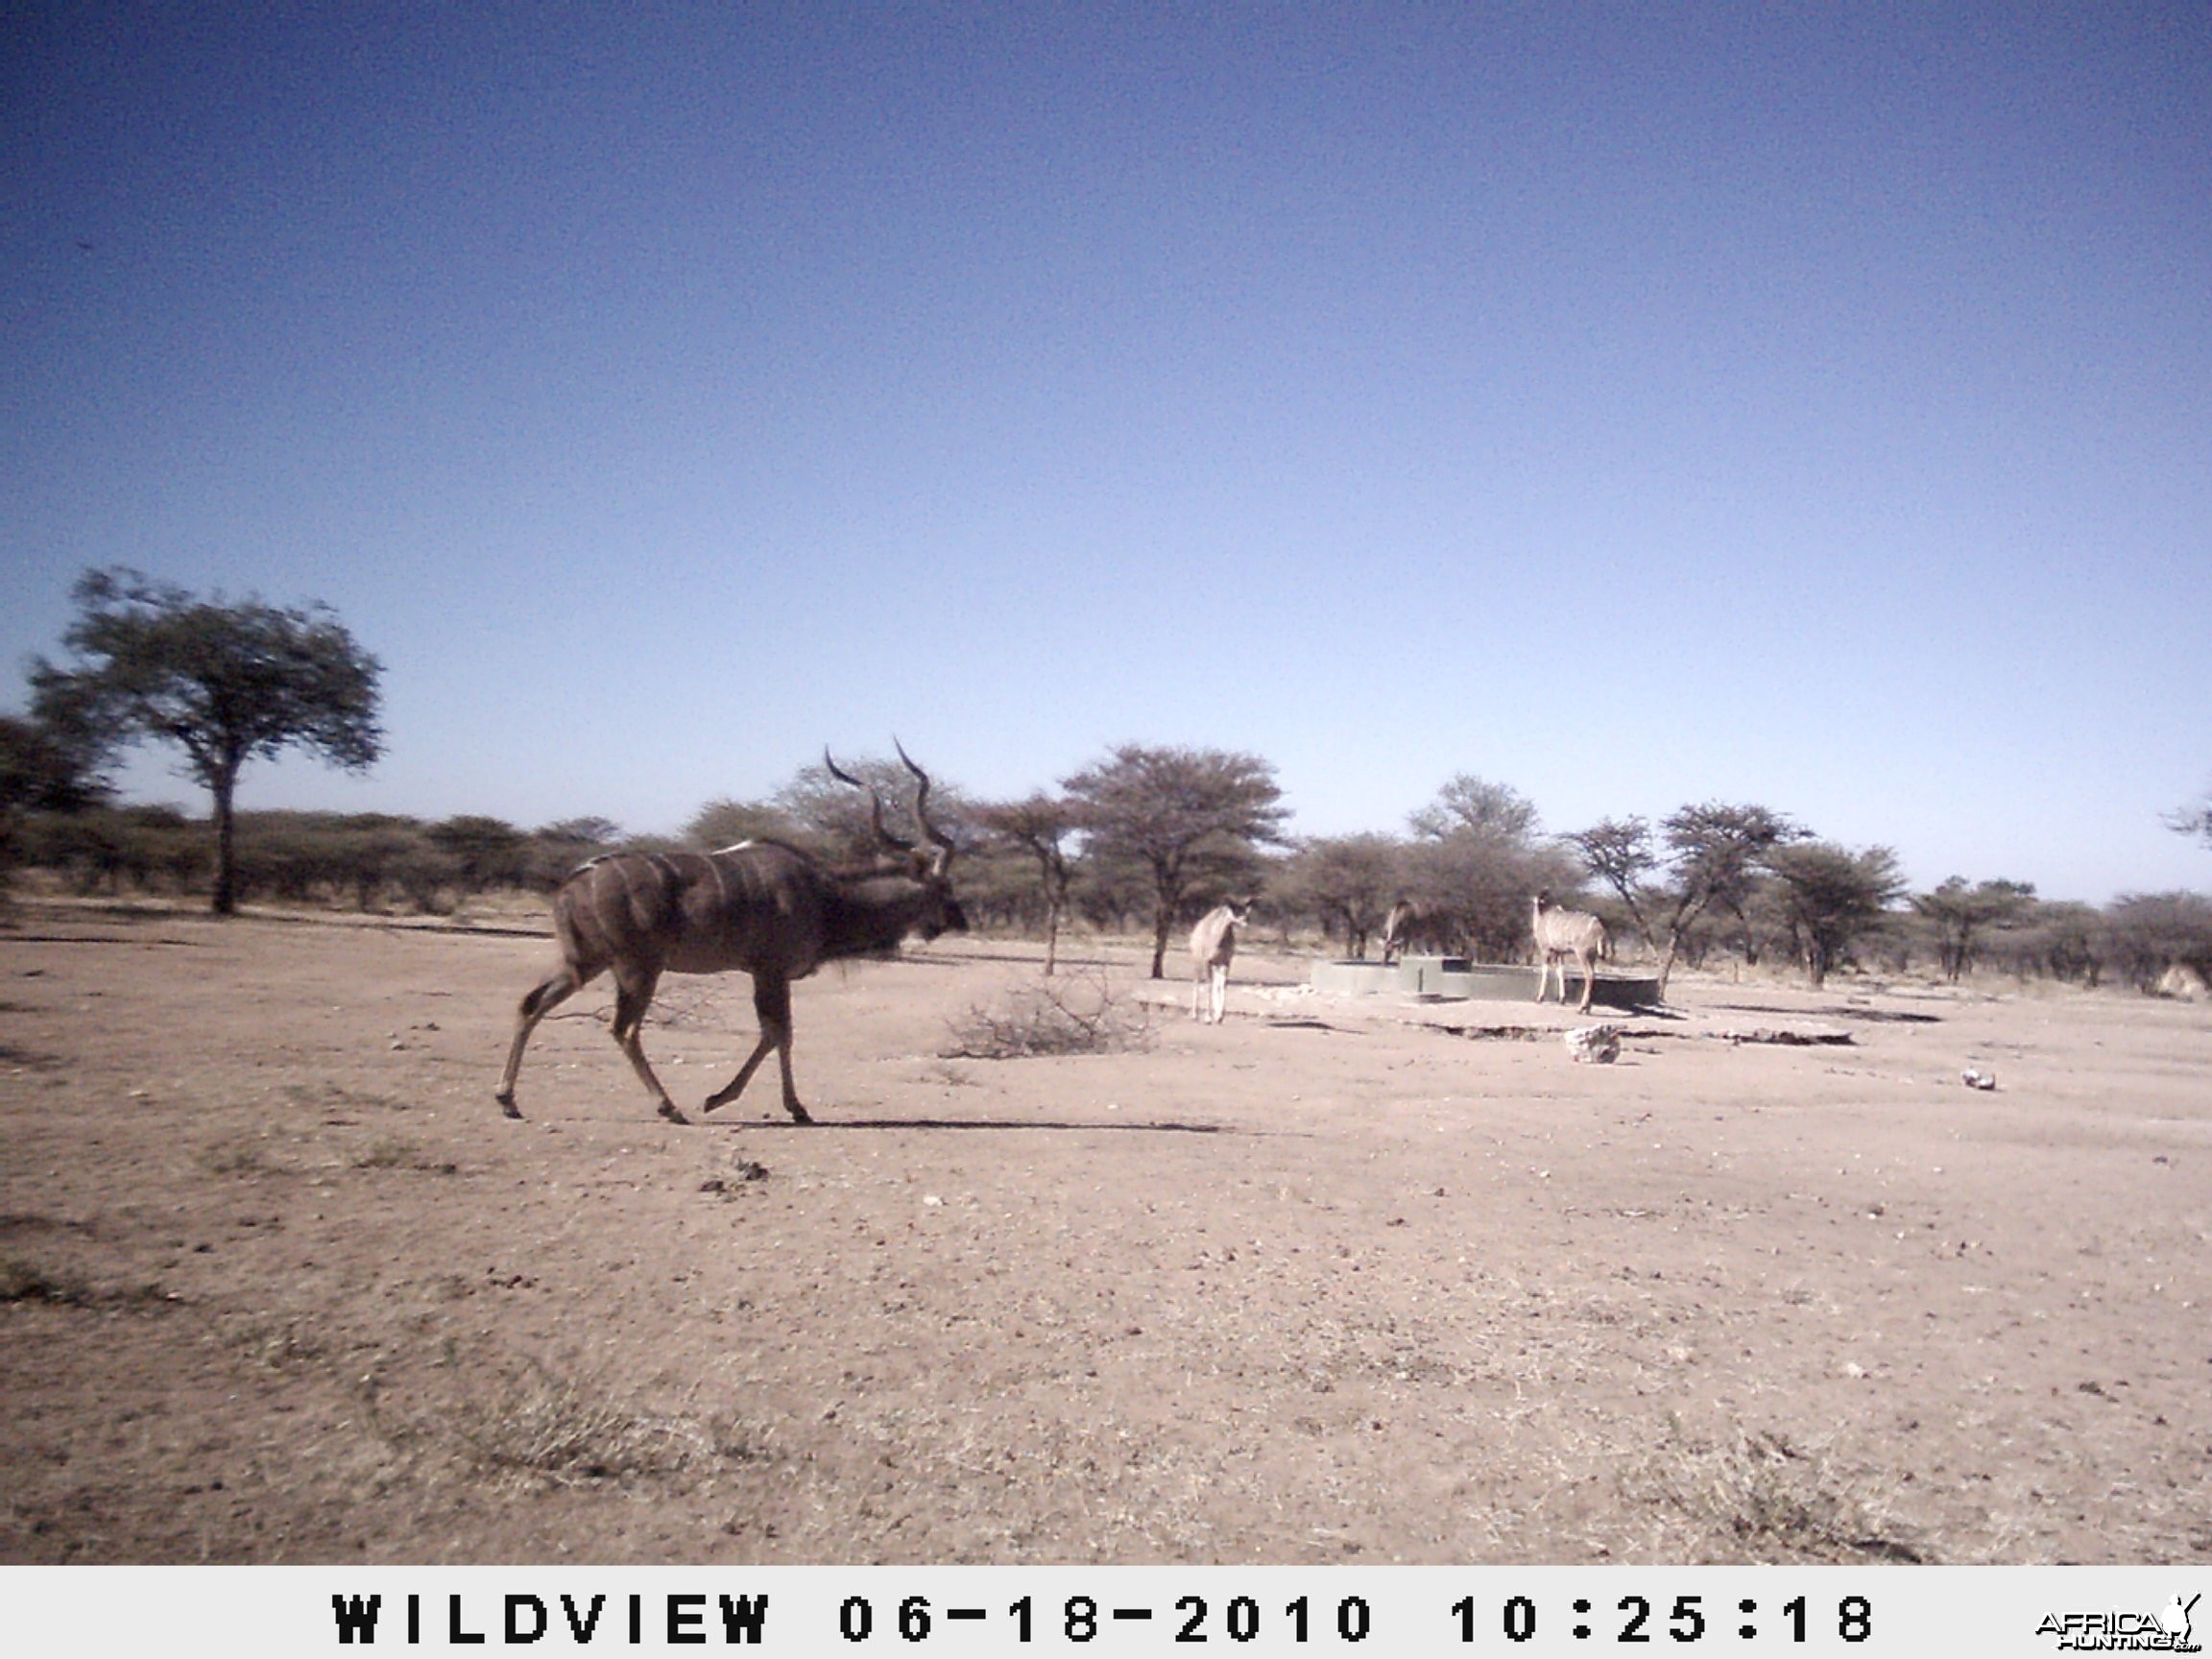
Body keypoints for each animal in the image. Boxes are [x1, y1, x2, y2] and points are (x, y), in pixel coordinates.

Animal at [502, 752, 969, 1132]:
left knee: (532, 1003)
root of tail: (573, 882)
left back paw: (508, 1100)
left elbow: (775, 1033)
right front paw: (760, 1103)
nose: (958, 920)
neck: (826, 895)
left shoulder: (766, 974)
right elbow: (779, 1033)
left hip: (585, 962)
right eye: (943, 889)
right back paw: (669, 1107)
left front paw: (763, 1102)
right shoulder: (770, 971)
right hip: (638, 968)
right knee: (625, 1028)